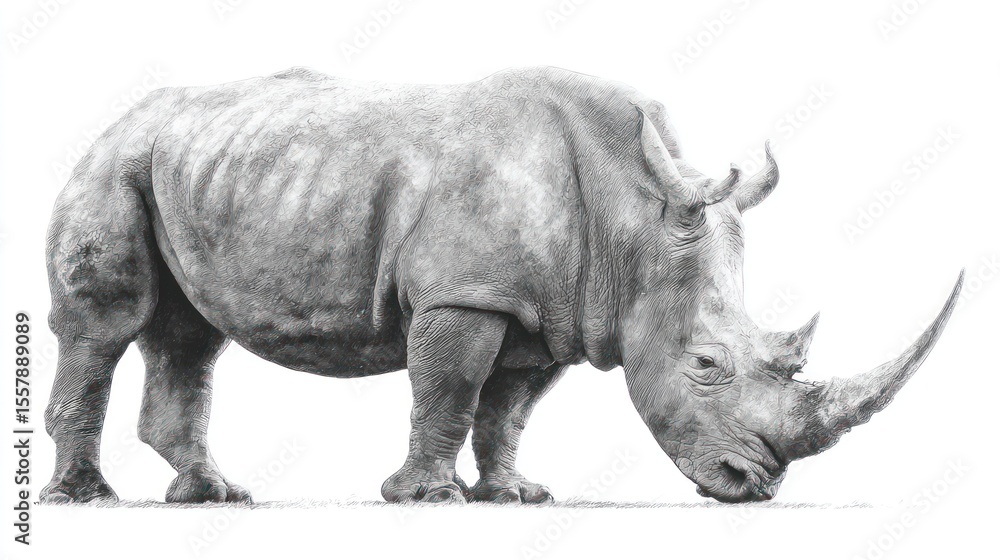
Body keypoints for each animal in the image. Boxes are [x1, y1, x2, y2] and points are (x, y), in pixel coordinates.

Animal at [41, 66, 962, 505]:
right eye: (704, 366)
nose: (755, 487)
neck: (633, 216)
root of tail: (125, 115)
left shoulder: (549, 311)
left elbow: (507, 410)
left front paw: (515, 495)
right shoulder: (466, 293)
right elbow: (448, 392)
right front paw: (427, 499)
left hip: (191, 165)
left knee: (191, 337)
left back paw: (214, 496)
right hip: (113, 161)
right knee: (107, 324)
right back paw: (88, 501)